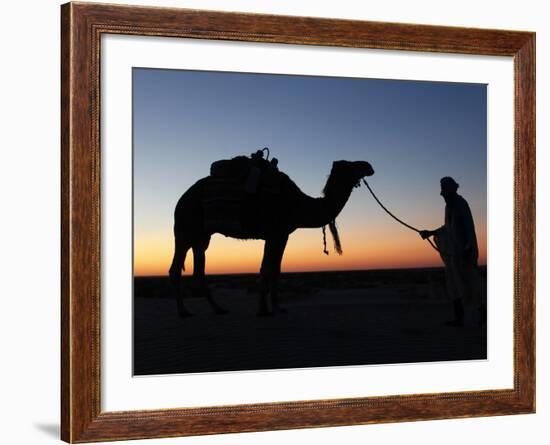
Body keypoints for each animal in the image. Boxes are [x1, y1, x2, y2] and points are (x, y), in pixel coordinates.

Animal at [169, 160, 376, 316]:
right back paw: (183, 312)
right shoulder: (276, 232)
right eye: (349, 165)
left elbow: (274, 269)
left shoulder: (280, 235)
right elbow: (268, 269)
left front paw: (276, 307)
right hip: (184, 230)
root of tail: (181, 200)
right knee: (175, 268)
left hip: (202, 236)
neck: (298, 204)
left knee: (198, 270)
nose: (368, 165)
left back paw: (218, 308)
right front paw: (264, 309)